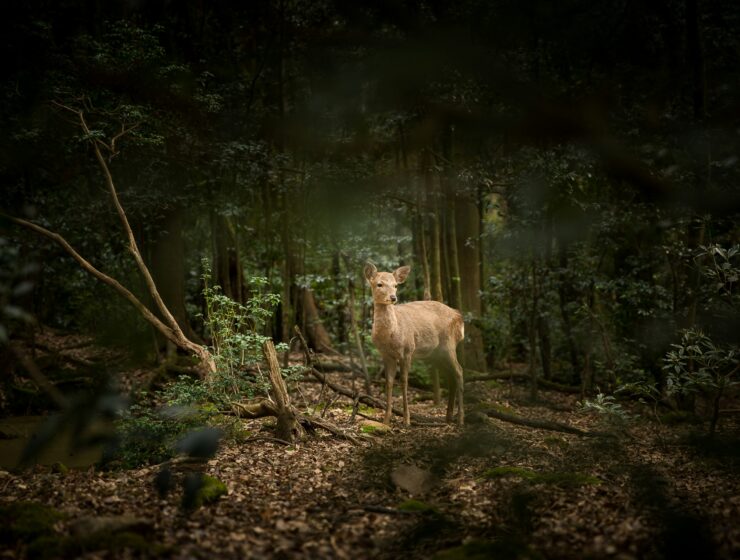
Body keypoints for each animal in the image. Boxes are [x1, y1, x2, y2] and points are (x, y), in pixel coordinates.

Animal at [364, 262, 465, 427]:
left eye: (395, 285)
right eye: (379, 284)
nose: (393, 297)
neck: (391, 335)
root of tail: (459, 317)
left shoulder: (407, 350)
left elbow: (404, 381)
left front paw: (406, 420)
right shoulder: (386, 355)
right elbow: (389, 382)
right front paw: (386, 420)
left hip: (449, 344)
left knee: (459, 371)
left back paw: (460, 419)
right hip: (436, 354)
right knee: (451, 376)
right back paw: (448, 417)